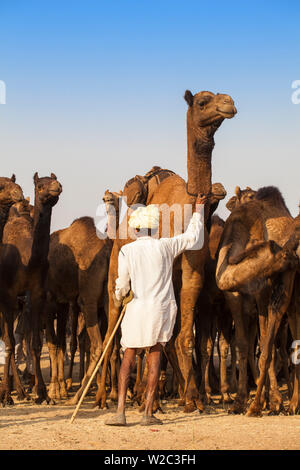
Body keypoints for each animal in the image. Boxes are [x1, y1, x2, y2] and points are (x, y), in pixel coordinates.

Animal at [0, 173, 61, 404]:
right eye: (40, 185)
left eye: (56, 181)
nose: (56, 186)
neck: (27, 261)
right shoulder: (7, 296)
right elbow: (9, 343)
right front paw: (6, 396)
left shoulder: (36, 295)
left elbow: (34, 343)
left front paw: (42, 393)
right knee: (8, 340)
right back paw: (11, 391)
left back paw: (22, 390)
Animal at [96, 91, 237, 412]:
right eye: (202, 101)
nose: (229, 103)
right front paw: (170, 397)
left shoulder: (192, 270)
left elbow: (182, 336)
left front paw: (193, 397)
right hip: (115, 274)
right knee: (111, 333)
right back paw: (102, 397)